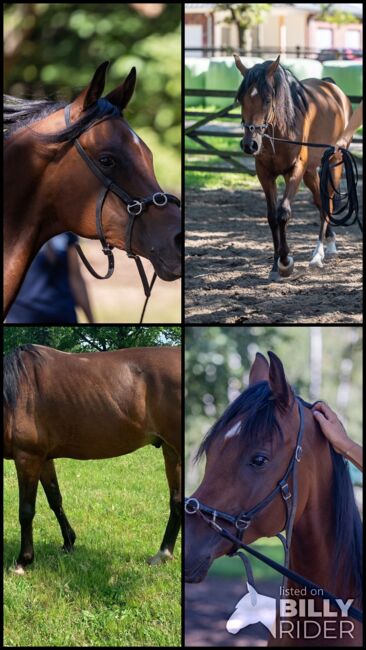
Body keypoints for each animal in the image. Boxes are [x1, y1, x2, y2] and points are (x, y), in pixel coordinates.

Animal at [2, 344, 180, 572]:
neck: (15, 396)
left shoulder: (27, 457)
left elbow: (26, 511)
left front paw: (23, 560)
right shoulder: (44, 458)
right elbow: (55, 499)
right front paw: (68, 542)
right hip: (171, 451)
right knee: (177, 501)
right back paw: (163, 554)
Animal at [234, 55, 352, 278]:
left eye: (268, 100)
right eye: (241, 99)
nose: (249, 144)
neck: (280, 129)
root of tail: (333, 88)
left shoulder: (295, 170)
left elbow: (283, 213)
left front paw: (285, 262)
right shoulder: (265, 173)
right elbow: (272, 216)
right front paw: (274, 265)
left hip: (334, 163)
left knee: (328, 203)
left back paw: (318, 254)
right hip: (311, 172)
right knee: (320, 201)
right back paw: (328, 243)